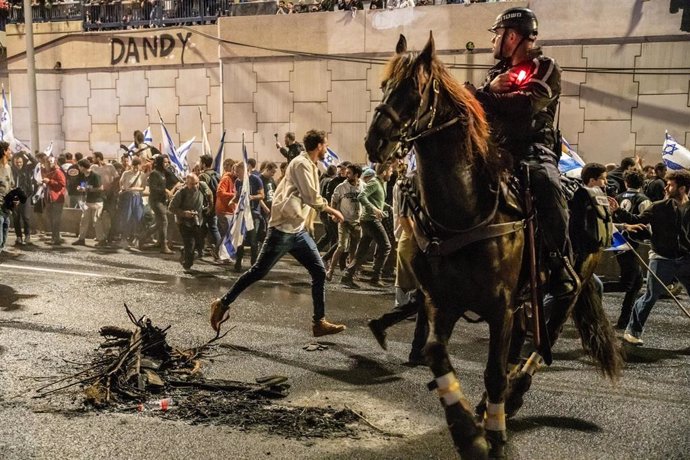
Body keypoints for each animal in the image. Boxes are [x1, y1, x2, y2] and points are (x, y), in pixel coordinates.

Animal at [362, 31, 620, 456]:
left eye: (413, 89)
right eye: (384, 86)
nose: (375, 142)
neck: (464, 210)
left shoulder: (499, 306)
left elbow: (495, 372)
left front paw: (492, 435)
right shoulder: (443, 302)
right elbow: (435, 353)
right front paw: (466, 428)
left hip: (568, 289)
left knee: (540, 342)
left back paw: (513, 397)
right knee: (519, 344)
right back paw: (489, 405)